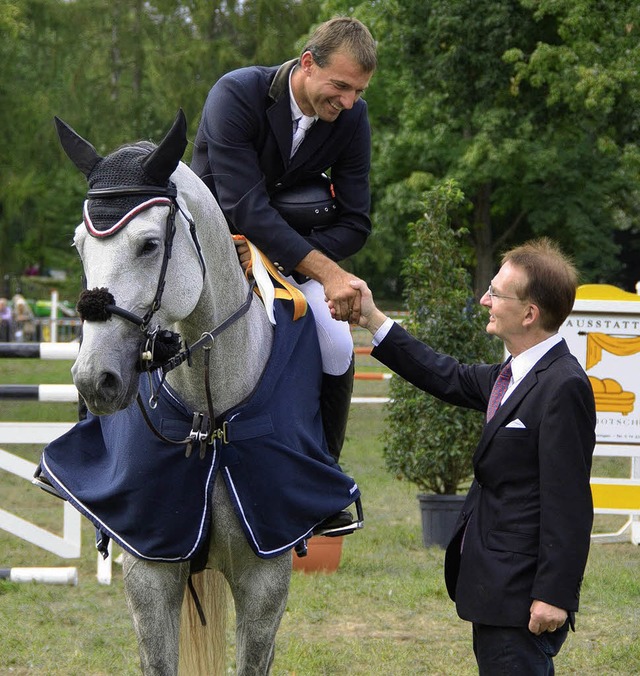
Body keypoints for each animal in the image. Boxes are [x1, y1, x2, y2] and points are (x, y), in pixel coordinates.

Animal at [40, 113, 360, 672]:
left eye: (149, 244)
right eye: (80, 245)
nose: (95, 380)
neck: (207, 419)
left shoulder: (265, 579)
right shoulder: (149, 569)